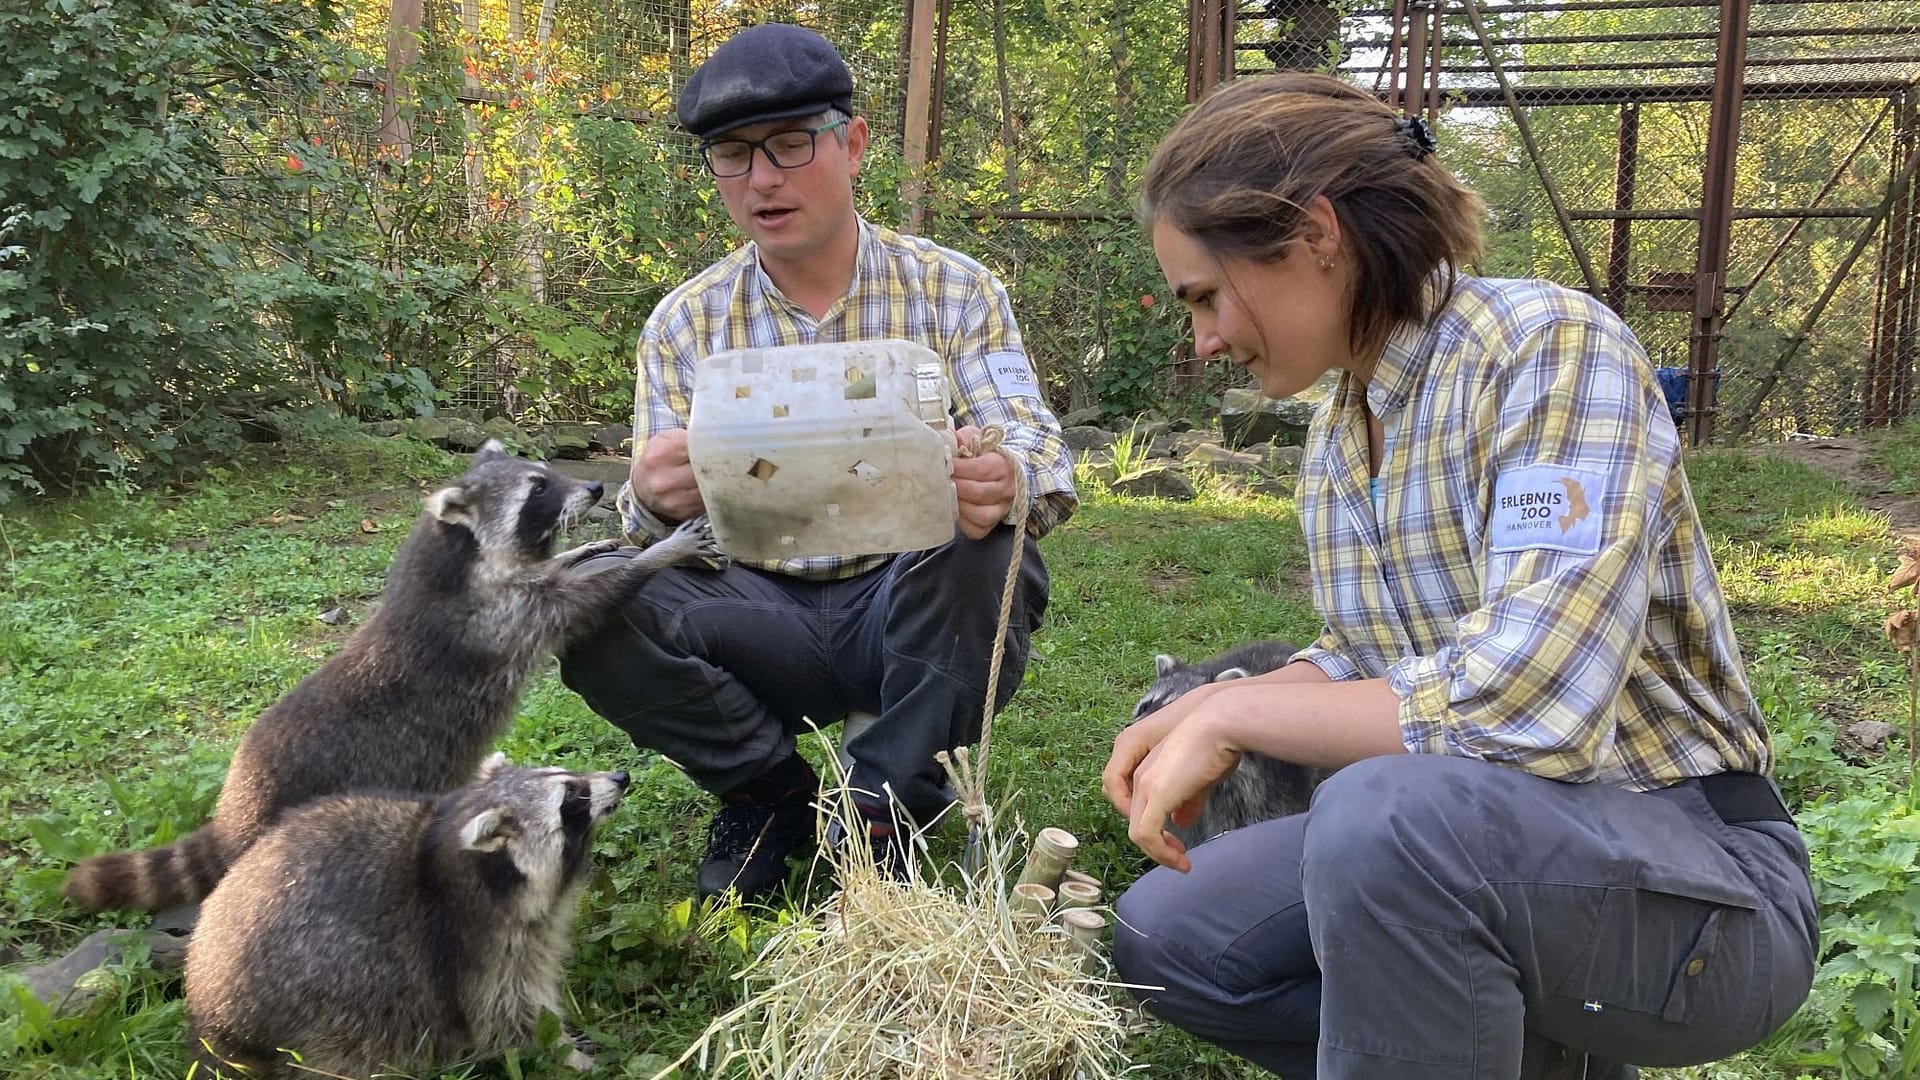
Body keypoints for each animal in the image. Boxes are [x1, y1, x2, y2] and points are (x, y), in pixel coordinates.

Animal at [65, 438, 721, 907]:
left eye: (545, 470)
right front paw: (656, 554)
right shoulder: (498, 618)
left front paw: (583, 550)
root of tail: (235, 809)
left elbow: (563, 573)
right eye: (537, 488)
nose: (594, 485)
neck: (453, 554)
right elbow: (587, 602)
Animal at [187, 753, 625, 1068]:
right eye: (573, 798)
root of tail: (211, 1023)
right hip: (318, 999)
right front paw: (570, 1055)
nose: (621, 778)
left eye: (565, 773)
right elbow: (509, 1013)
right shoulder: (473, 940)